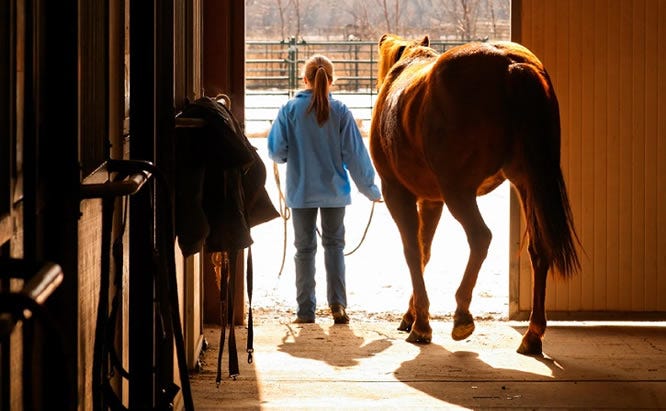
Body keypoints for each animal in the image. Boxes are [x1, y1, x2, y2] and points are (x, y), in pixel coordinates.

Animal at [370, 34, 580, 355]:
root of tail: (510, 65)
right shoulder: (432, 201)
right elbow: (425, 251)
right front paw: (412, 315)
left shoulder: (397, 193)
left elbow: (413, 251)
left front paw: (421, 324)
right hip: (527, 183)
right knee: (539, 249)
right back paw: (532, 335)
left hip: (459, 192)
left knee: (480, 237)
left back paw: (462, 316)